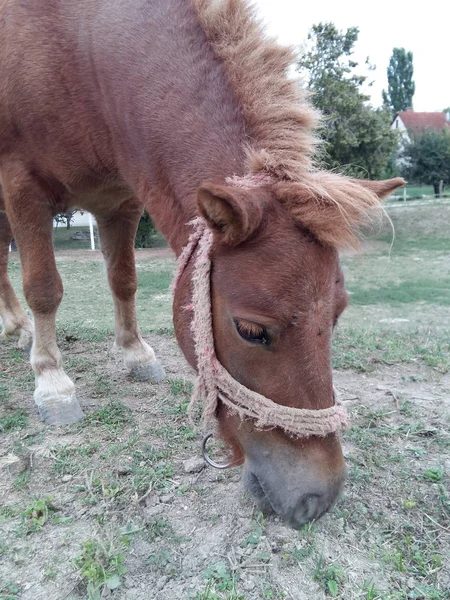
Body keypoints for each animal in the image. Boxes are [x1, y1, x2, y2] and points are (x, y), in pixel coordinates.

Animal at [0, 0, 404, 524]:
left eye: (337, 317)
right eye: (250, 330)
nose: (317, 499)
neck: (79, 52)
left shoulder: (120, 199)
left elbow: (123, 279)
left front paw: (135, 354)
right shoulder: (21, 186)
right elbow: (44, 287)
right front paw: (52, 381)